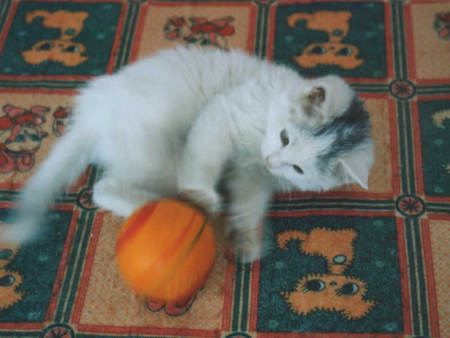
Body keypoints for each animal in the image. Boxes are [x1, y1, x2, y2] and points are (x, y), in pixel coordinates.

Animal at [0, 46, 372, 262]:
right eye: (284, 137)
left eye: (298, 169)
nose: (272, 160)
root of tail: (90, 117)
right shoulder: (221, 114)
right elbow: (204, 158)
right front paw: (200, 193)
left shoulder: (252, 176)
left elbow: (249, 204)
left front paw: (248, 240)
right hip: (159, 154)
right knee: (104, 189)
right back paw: (163, 205)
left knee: (107, 187)